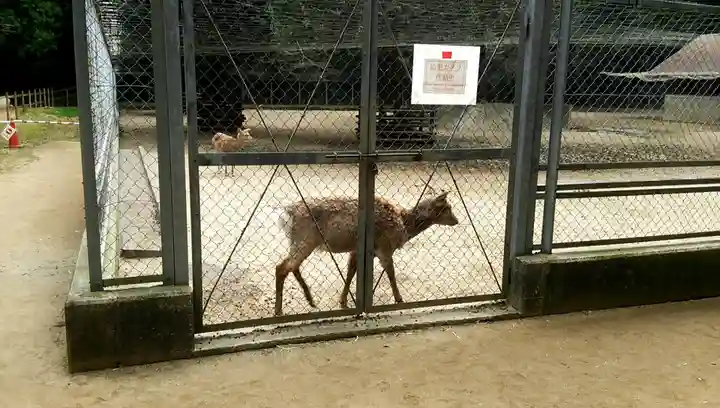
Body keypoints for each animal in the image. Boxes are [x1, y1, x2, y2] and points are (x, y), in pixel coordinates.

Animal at [274, 191, 459, 316]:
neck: (404, 226)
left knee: (291, 266)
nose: (457, 220)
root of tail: (285, 215)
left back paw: (310, 300)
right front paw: (399, 299)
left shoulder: (356, 250)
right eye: (448, 208)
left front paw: (343, 301)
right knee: (282, 267)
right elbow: (391, 273)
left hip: (299, 242)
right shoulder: (384, 247)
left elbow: (351, 272)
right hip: (305, 240)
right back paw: (279, 310)